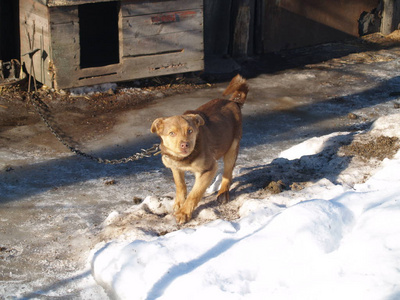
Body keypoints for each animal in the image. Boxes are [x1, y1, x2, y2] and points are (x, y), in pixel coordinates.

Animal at [152, 75, 248, 223]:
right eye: (172, 133)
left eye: (190, 131)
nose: (184, 145)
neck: (184, 158)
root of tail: (233, 102)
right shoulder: (175, 167)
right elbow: (180, 185)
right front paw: (179, 203)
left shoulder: (209, 169)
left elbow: (195, 193)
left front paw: (184, 213)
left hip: (232, 148)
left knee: (227, 173)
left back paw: (223, 193)